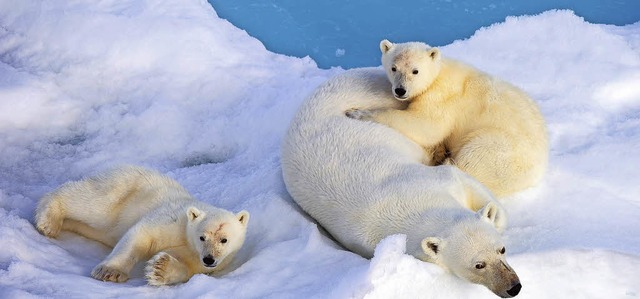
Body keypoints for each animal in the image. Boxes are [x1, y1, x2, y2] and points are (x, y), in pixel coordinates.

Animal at [33, 166, 250, 286]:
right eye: (202, 237)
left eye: (224, 239)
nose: (209, 259)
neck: (187, 239)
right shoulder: (172, 219)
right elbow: (141, 234)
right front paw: (110, 272)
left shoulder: (196, 259)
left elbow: (186, 268)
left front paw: (160, 268)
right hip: (121, 190)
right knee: (90, 203)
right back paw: (49, 221)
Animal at [282, 69, 524, 298]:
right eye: (478, 265)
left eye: (502, 249)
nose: (514, 287)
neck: (413, 203)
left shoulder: (438, 180)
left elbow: (464, 180)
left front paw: (494, 214)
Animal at [348, 40, 548, 199]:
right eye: (393, 68)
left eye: (415, 71)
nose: (400, 90)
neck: (438, 72)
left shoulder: (443, 97)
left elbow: (427, 126)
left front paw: (357, 113)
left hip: (499, 148)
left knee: (473, 158)